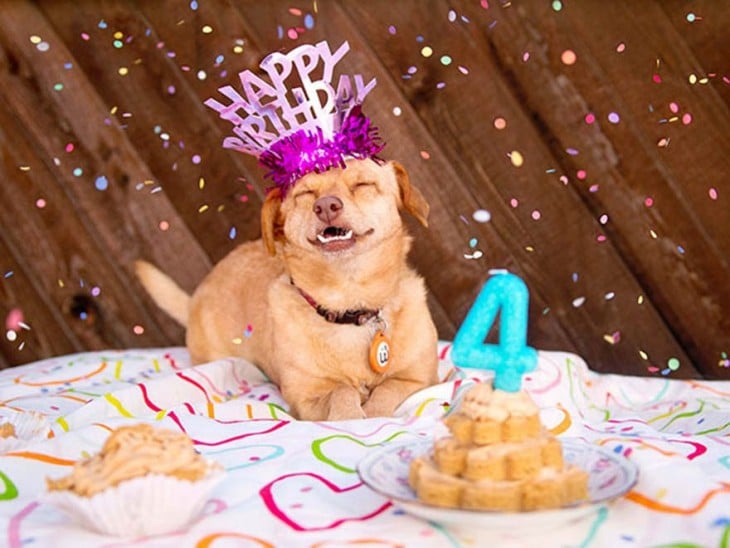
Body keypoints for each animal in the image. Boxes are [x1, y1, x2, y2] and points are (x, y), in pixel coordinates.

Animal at [134, 158, 436, 420]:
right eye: (306, 193)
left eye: (363, 184)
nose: (326, 206)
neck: (349, 303)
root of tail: (196, 298)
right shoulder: (305, 400)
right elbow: (340, 391)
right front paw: (349, 415)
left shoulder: (423, 379)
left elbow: (388, 388)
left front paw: (373, 411)